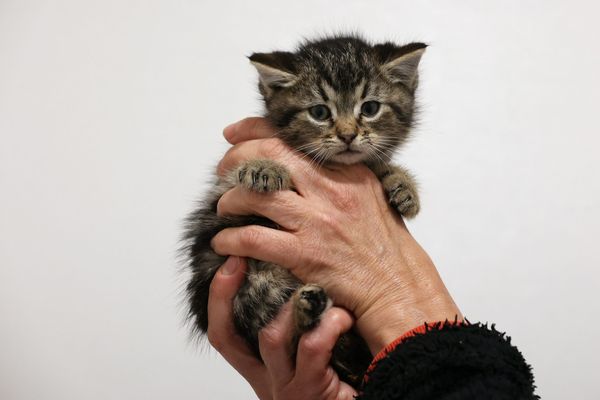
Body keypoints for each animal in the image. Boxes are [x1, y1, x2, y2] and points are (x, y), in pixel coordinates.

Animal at [183, 36, 426, 390]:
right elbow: (232, 177)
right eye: (319, 112)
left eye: (369, 108)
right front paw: (262, 167)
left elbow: (379, 164)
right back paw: (306, 309)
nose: (348, 135)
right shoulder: (221, 196)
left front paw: (403, 186)